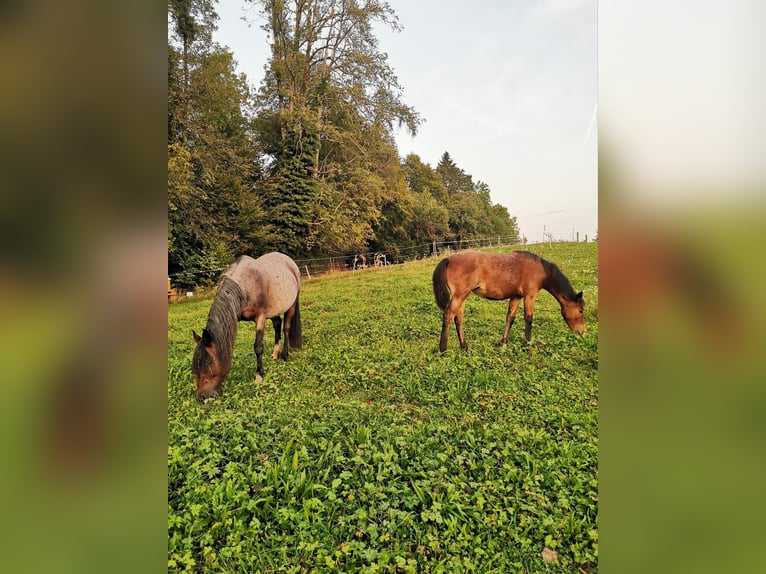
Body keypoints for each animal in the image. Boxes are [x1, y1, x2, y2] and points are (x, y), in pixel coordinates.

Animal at [192, 252, 304, 400]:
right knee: (277, 325)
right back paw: (275, 354)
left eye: (208, 362)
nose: (202, 397)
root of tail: (291, 263)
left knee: (286, 328)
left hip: (291, 305)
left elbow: (258, 347)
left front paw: (259, 375)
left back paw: (284, 355)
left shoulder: (260, 317)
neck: (244, 287)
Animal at [432, 251, 588, 354]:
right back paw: (443, 350)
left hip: (462, 296)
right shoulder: (530, 295)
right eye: (581, 310)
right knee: (448, 315)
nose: (580, 332)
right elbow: (528, 318)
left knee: (458, 318)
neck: (541, 270)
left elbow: (510, 318)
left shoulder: (516, 296)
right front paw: (527, 343)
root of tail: (448, 259)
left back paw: (464, 347)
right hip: (460, 295)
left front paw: (503, 344)